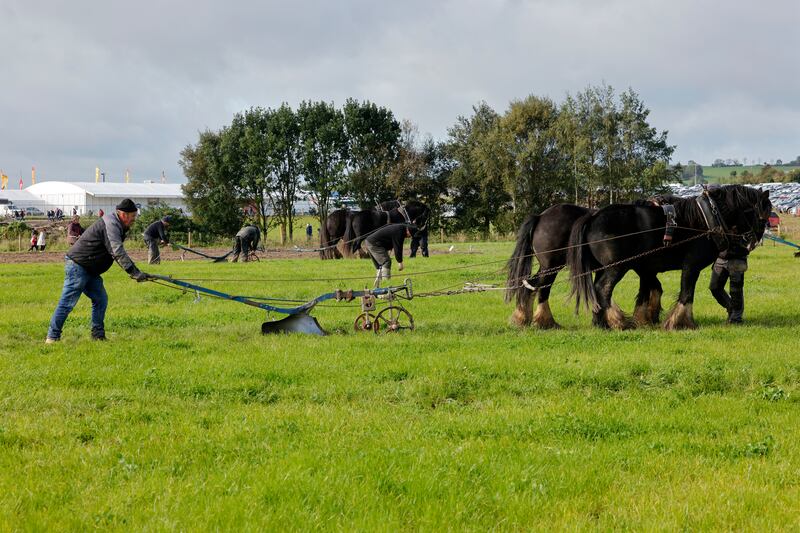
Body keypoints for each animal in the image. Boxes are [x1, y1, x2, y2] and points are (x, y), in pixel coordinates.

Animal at [564, 186, 772, 328]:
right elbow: (686, 293)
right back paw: (618, 322)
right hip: (616, 267)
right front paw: (681, 322)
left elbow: (649, 292)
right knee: (603, 289)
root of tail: (593, 216)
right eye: (764, 216)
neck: (705, 220)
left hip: (603, 268)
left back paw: (601, 322)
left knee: (596, 290)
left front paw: (649, 318)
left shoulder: (647, 269)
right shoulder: (691, 265)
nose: (752, 242)